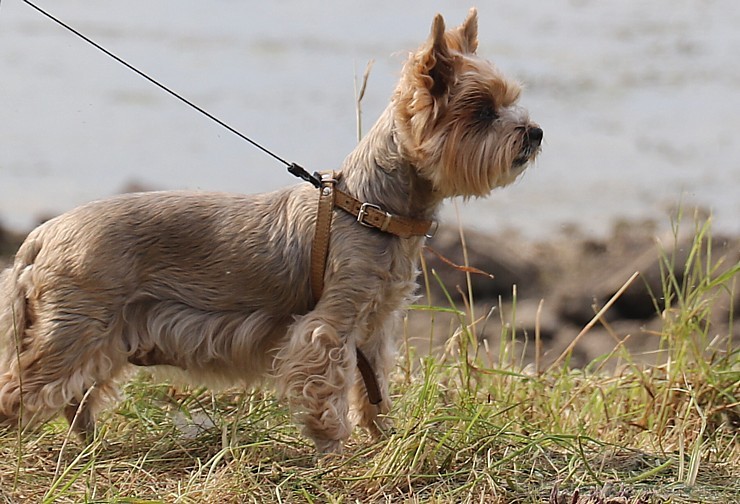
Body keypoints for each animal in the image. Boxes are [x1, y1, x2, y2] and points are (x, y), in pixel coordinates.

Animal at [0, 9, 544, 452]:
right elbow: (325, 386)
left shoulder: (374, 327)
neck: (369, 207)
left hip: (100, 336)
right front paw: (333, 448)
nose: (536, 132)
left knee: (74, 395)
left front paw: (382, 435)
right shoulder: (330, 326)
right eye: (483, 111)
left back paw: (89, 442)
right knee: (21, 391)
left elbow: (374, 390)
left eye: (514, 103)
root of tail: (40, 236)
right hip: (76, 326)